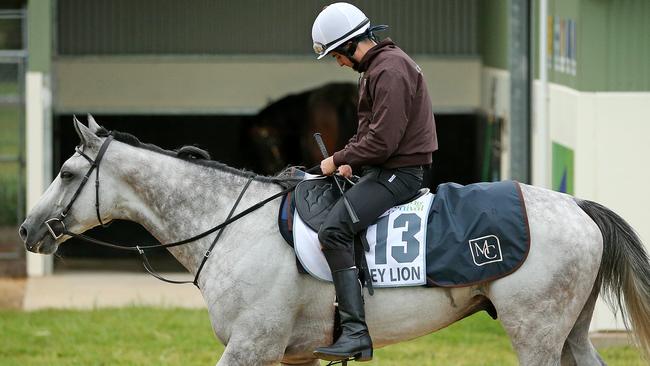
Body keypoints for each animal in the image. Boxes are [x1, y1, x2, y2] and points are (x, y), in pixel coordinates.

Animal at [17, 118, 644, 366]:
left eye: (67, 174)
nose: (26, 229)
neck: (229, 224)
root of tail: (576, 206)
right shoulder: (287, 355)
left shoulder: (251, 347)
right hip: (568, 332)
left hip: (535, 333)